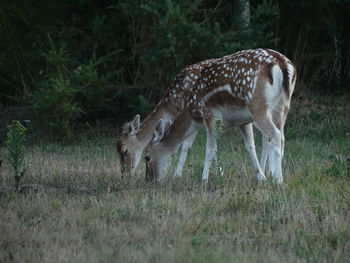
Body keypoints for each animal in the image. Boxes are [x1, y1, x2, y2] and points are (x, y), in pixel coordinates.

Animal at [144, 49, 296, 186]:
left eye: (147, 157)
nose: (150, 180)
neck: (193, 108)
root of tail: (282, 63)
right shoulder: (243, 121)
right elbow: (249, 146)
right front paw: (260, 177)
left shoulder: (209, 114)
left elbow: (210, 147)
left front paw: (204, 180)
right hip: (281, 107)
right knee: (281, 136)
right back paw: (273, 174)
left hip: (258, 106)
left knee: (275, 134)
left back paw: (278, 180)